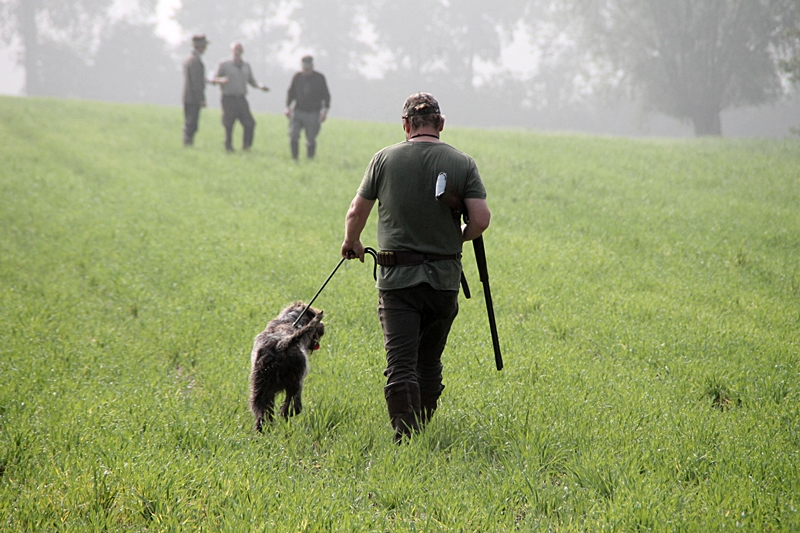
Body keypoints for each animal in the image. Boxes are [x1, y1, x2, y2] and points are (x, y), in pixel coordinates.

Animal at [250, 302, 324, 430]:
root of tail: (281, 344)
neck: (290, 321)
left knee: (262, 416)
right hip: (295, 383)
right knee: (294, 408)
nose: (323, 326)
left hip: (260, 390)